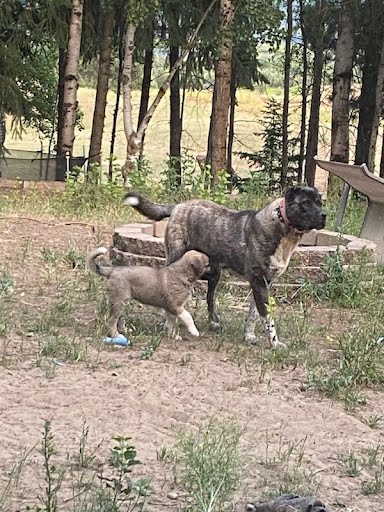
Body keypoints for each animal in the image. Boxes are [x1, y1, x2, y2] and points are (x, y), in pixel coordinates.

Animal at [124, 186, 328, 350]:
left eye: (320, 202)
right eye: (306, 203)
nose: (324, 215)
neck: (282, 225)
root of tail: (178, 206)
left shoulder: (262, 284)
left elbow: (253, 314)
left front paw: (249, 336)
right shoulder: (259, 283)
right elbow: (267, 318)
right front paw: (274, 344)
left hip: (214, 272)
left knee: (209, 296)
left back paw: (213, 322)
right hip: (177, 258)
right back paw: (167, 321)